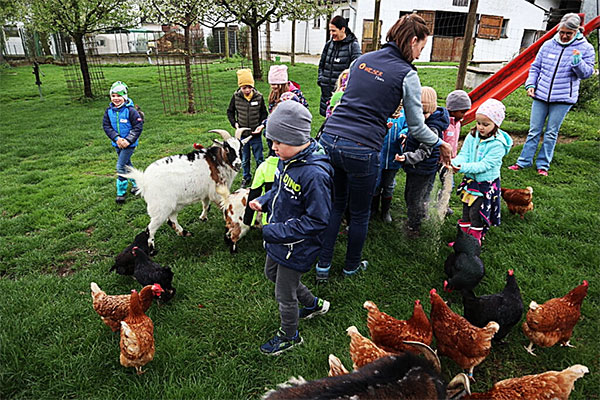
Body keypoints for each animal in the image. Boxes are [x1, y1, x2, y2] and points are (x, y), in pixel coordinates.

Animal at [120, 128, 250, 253]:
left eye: (241, 148)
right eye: (227, 148)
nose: (238, 164)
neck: (216, 160)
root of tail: (144, 181)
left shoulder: (206, 192)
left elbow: (205, 205)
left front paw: (203, 218)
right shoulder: (216, 192)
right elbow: (223, 207)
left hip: (173, 205)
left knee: (171, 220)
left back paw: (185, 233)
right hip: (160, 208)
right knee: (150, 229)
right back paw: (152, 250)